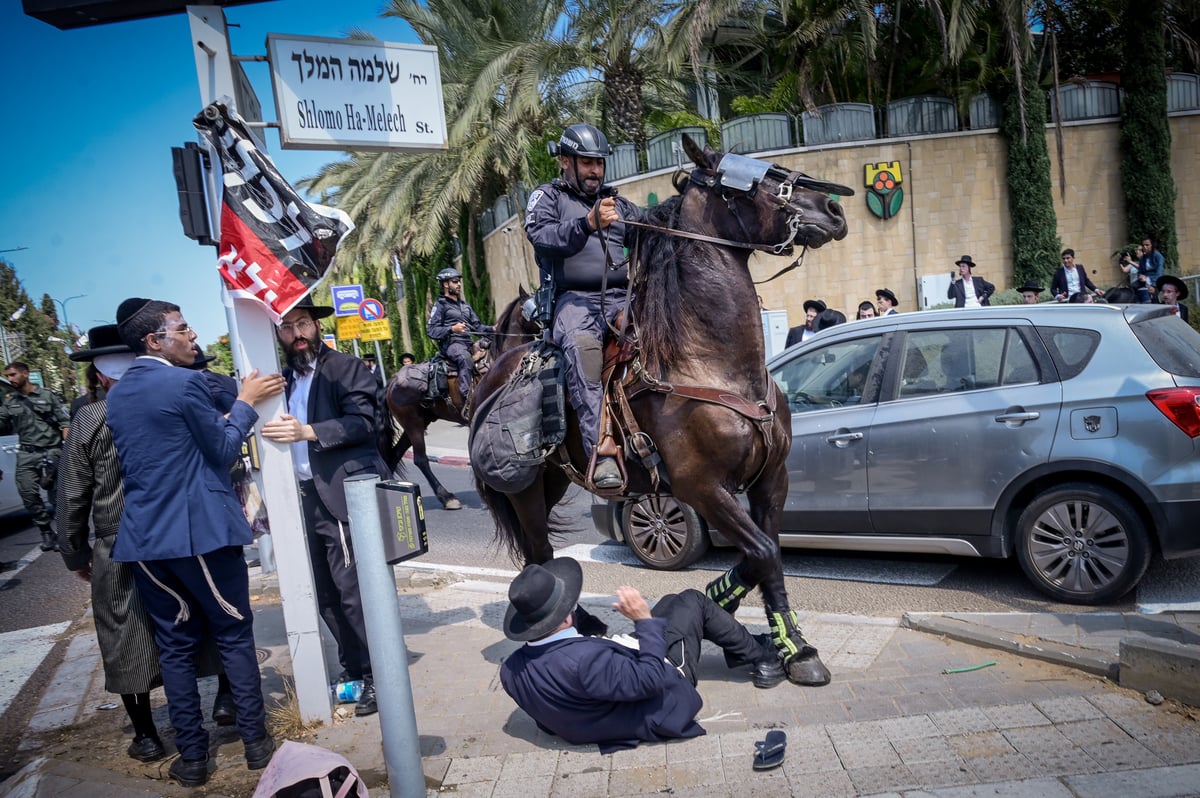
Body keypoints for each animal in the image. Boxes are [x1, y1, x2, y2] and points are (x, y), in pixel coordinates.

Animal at [381, 289, 537, 506]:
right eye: (531, 305)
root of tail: (392, 382)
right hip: (413, 424)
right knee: (420, 459)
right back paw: (446, 497)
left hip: (418, 422)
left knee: (396, 455)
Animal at [468, 138, 854, 686]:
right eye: (753, 181)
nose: (834, 210)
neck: (712, 363)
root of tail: (490, 376)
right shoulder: (701, 486)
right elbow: (763, 552)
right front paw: (776, 637)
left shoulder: (770, 479)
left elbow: (768, 555)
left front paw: (787, 642)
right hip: (524, 490)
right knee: (540, 553)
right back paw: (575, 622)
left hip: (554, 481)